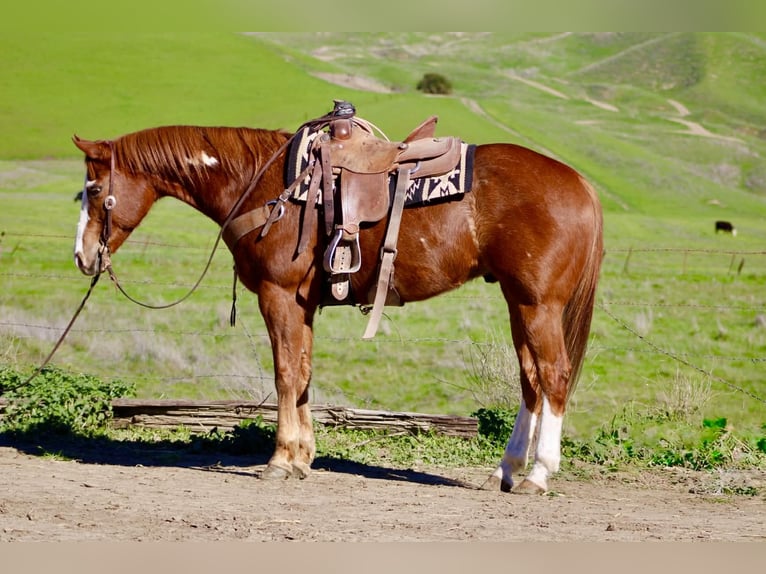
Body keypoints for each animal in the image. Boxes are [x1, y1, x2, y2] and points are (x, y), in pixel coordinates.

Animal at [71, 113, 603, 494]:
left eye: (94, 190)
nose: (82, 255)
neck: (265, 186)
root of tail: (580, 182)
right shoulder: (302, 304)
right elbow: (304, 372)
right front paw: (303, 457)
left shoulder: (279, 296)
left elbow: (286, 373)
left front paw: (280, 460)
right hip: (519, 302)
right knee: (531, 381)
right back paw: (506, 471)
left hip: (539, 304)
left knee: (553, 376)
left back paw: (538, 474)